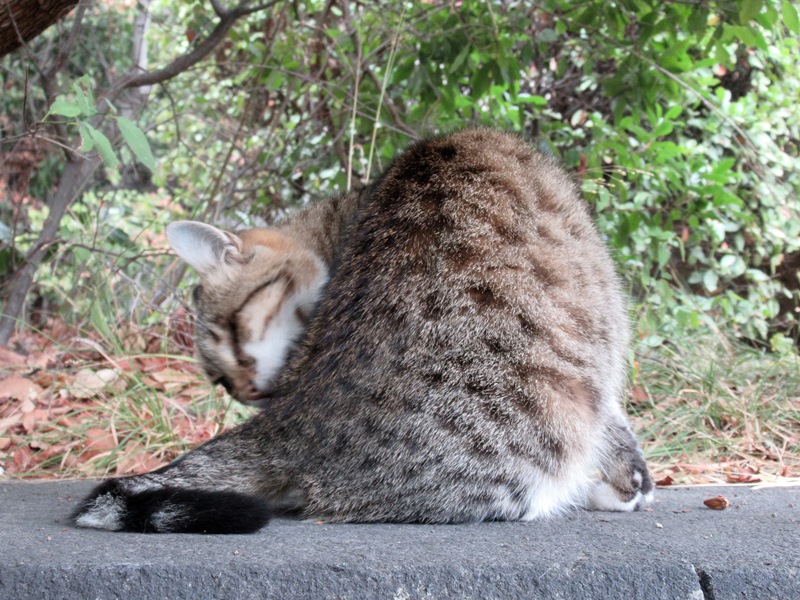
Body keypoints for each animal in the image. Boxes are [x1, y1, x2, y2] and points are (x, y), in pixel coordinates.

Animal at [72, 129, 652, 532]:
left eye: (231, 332)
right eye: (220, 385)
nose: (249, 392)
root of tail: (287, 426)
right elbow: (614, 422)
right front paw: (627, 482)